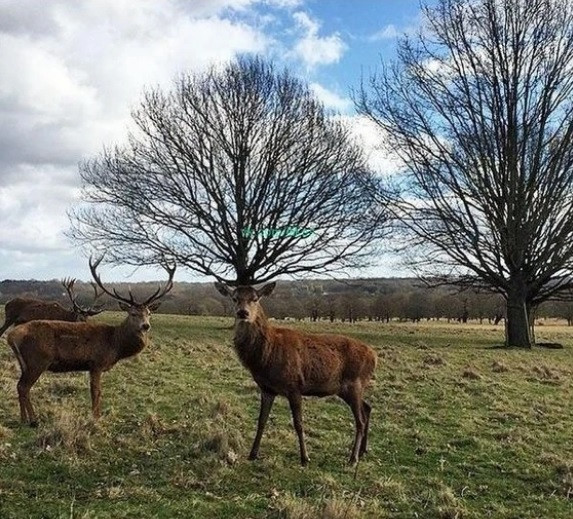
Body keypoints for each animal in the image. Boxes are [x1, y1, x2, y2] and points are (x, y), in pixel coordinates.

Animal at [5, 258, 174, 428]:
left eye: (149, 313)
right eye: (133, 313)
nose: (145, 326)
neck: (115, 344)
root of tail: (11, 336)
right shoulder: (96, 363)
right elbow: (96, 392)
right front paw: (96, 419)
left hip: (25, 363)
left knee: (20, 386)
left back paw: (23, 419)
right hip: (38, 360)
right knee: (24, 387)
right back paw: (33, 420)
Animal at [213, 282, 376, 470]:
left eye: (255, 298)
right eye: (234, 298)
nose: (243, 313)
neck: (266, 356)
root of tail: (374, 357)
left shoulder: (294, 386)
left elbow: (298, 424)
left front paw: (305, 458)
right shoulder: (267, 389)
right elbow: (261, 420)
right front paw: (253, 454)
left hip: (354, 383)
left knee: (360, 420)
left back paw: (353, 458)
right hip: (349, 389)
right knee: (367, 407)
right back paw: (363, 451)